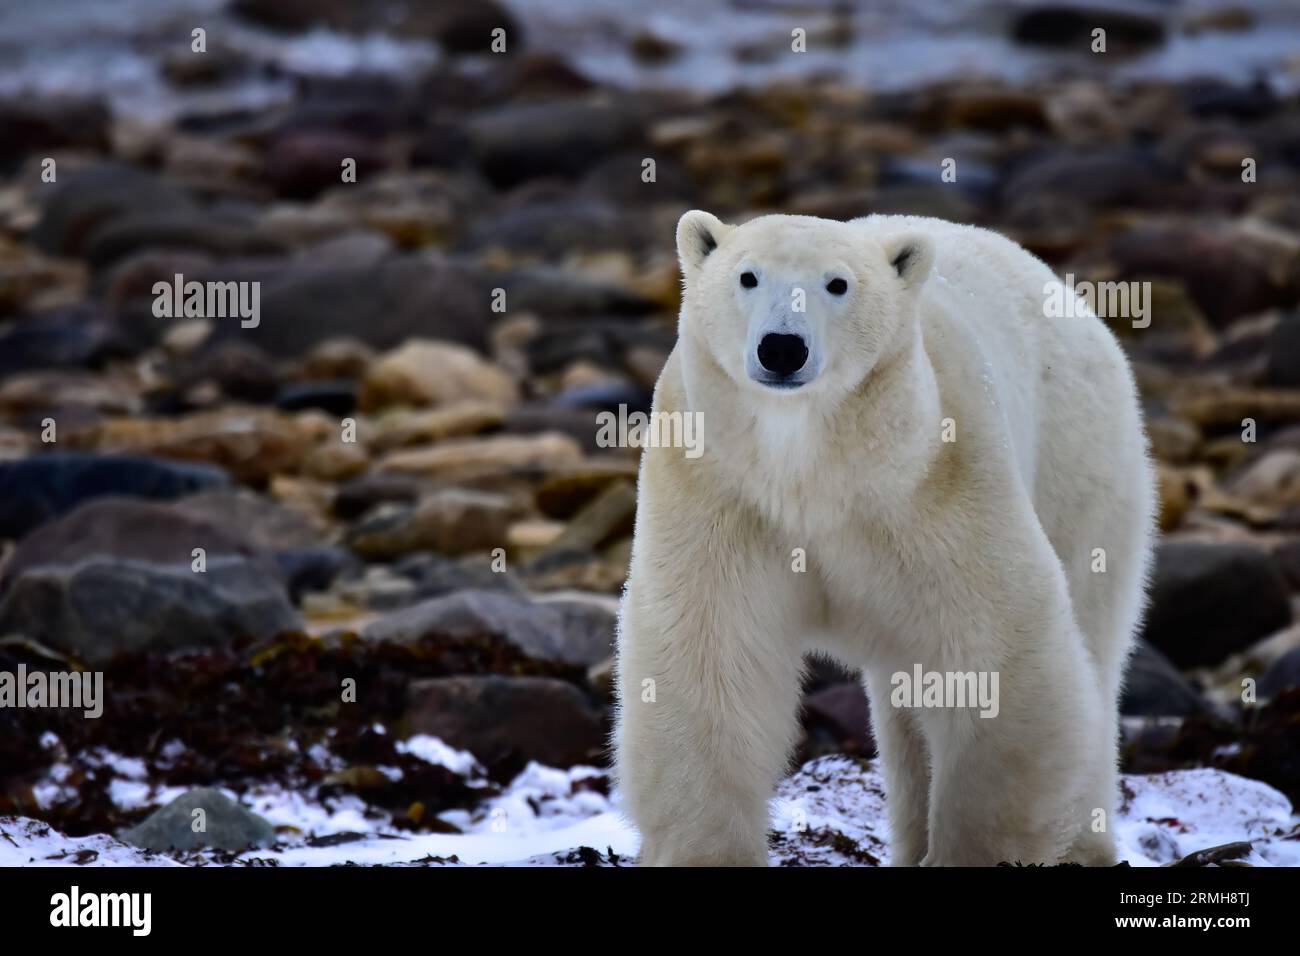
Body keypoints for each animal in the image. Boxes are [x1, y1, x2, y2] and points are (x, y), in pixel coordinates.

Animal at [613, 209, 1154, 868]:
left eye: (837, 283)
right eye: (747, 276)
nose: (782, 347)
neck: (811, 473)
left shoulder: (936, 484)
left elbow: (996, 654)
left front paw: (971, 851)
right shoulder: (717, 489)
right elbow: (709, 660)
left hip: (1078, 461)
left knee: (1094, 646)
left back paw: (1083, 845)